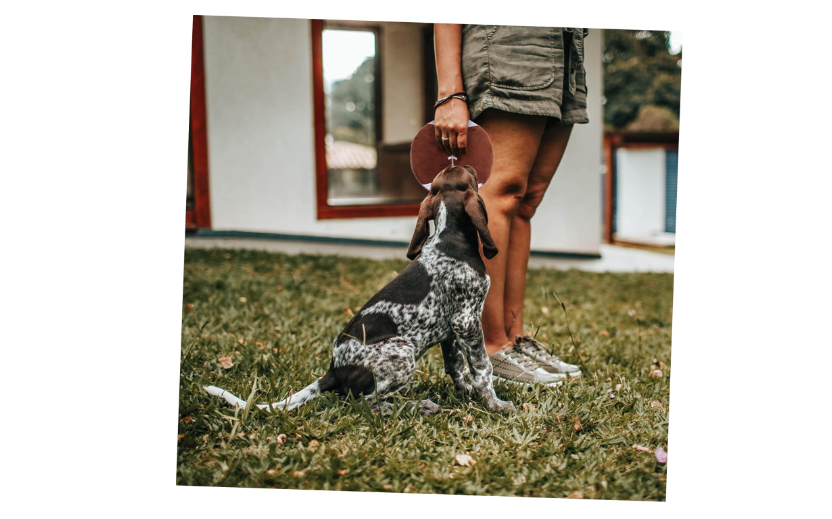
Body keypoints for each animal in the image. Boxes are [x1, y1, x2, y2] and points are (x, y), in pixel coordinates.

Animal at [203, 165, 512, 416]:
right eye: (468, 174)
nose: (469, 163)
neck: (449, 239)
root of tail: (333, 371)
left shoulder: (451, 329)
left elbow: (456, 366)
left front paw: (467, 393)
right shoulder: (466, 320)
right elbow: (482, 367)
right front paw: (494, 404)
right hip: (402, 350)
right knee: (365, 402)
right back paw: (416, 407)